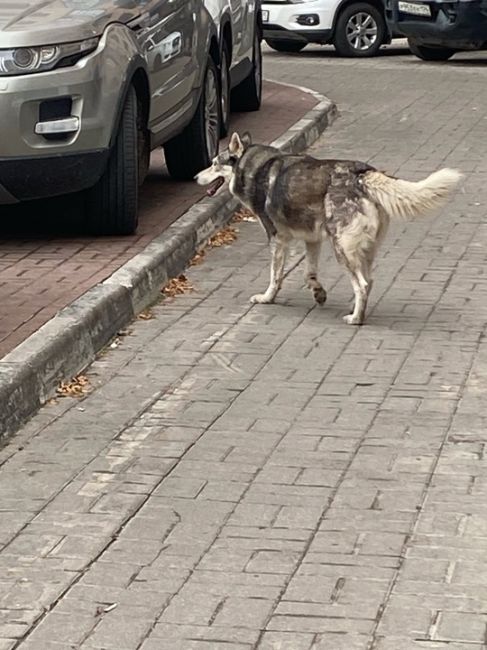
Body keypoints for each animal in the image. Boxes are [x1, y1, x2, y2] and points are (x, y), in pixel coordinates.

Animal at [195, 132, 462, 324]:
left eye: (214, 164)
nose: (196, 177)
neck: (254, 166)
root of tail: (363, 173)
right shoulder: (312, 240)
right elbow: (309, 273)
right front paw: (318, 293)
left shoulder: (277, 239)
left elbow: (275, 276)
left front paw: (267, 298)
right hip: (363, 250)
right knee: (369, 281)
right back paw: (357, 309)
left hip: (341, 248)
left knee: (362, 284)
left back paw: (356, 319)